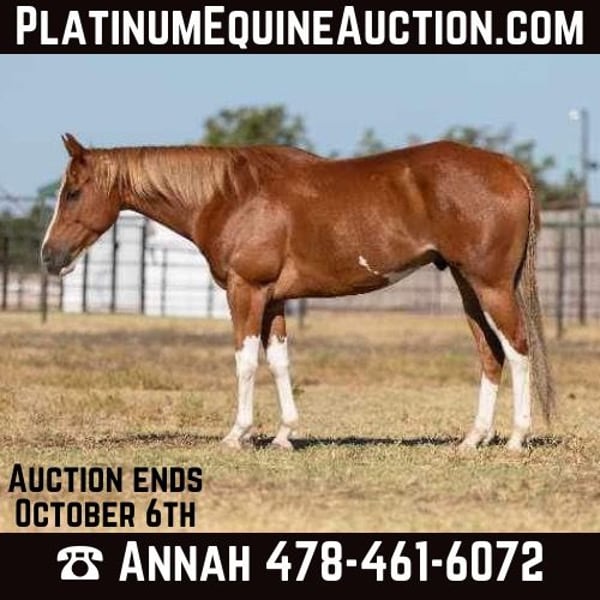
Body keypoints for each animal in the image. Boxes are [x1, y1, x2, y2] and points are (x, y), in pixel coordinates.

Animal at [41, 133, 555, 452]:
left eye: (73, 192)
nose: (49, 256)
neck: (229, 195)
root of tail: (507, 167)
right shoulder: (274, 299)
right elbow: (279, 362)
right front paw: (284, 434)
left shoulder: (246, 292)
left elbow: (246, 361)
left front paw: (238, 434)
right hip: (468, 287)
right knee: (490, 353)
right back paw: (473, 438)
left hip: (490, 286)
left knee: (518, 349)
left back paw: (516, 438)